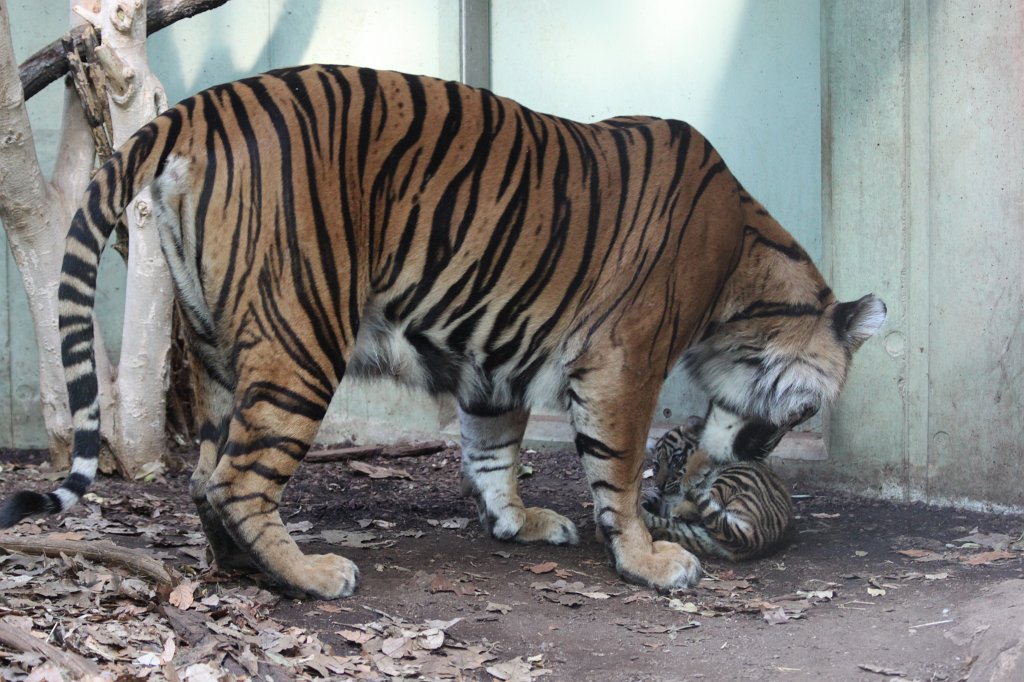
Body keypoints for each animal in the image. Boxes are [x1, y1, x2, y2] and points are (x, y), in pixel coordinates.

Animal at [642, 415, 795, 561]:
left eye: (675, 460)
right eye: (656, 466)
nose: (659, 485)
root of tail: (755, 537)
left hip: (731, 477)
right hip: (701, 535)